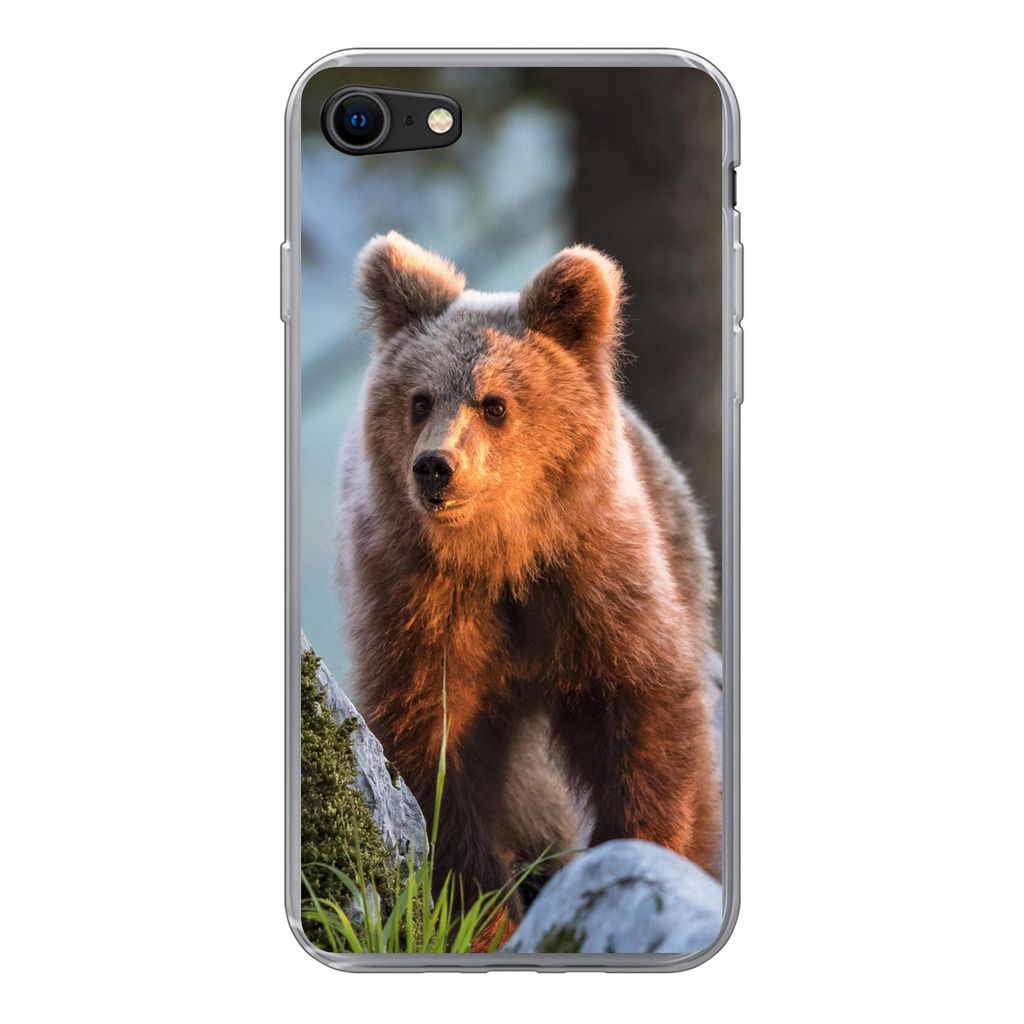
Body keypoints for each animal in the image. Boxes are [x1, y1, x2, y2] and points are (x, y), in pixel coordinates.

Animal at [335, 231, 720, 919]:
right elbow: (433, 745)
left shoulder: (593, 577)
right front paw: (481, 903)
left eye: (495, 404)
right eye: (419, 400)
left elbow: (644, 710)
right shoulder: (416, 601)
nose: (436, 467)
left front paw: (642, 847)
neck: (501, 554)